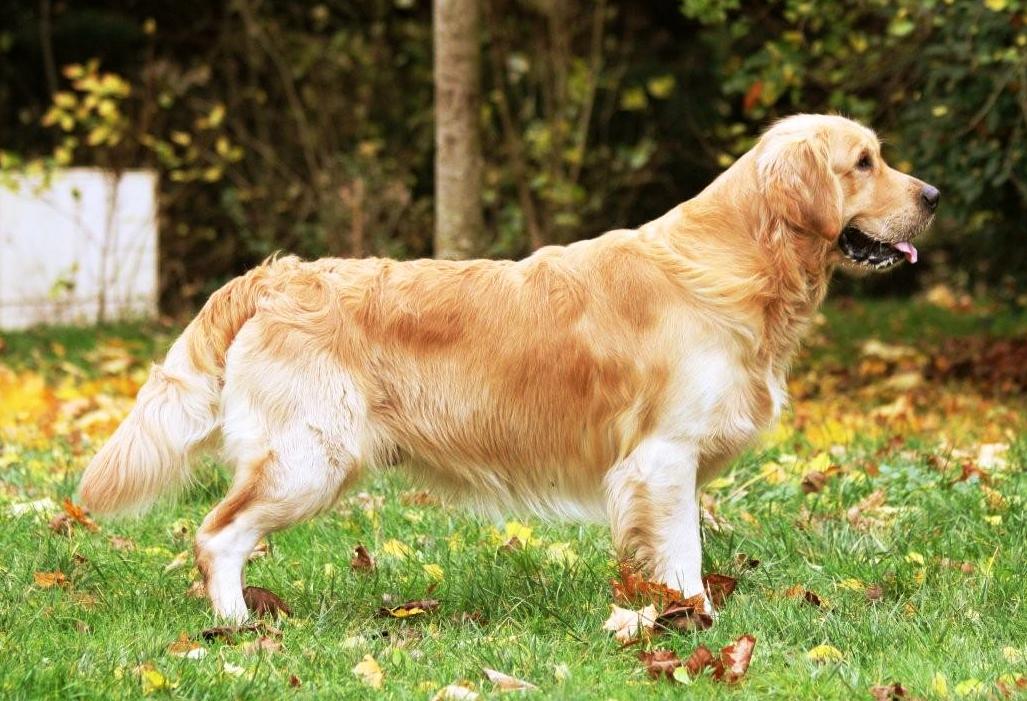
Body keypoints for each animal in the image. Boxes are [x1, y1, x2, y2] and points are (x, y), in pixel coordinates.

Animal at [78, 112, 940, 624]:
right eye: (863, 162)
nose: (933, 194)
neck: (738, 261)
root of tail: (275, 274)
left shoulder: (667, 466)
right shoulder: (661, 458)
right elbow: (685, 559)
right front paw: (697, 629)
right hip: (309, 457)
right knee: (216, 533)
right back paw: (235, 625)